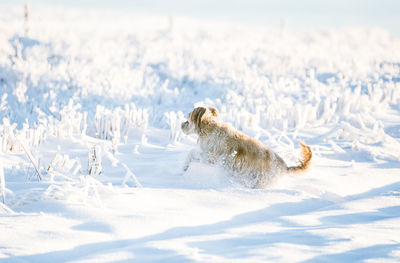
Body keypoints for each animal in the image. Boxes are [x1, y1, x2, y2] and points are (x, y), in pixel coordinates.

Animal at [181, 106, 312, 189]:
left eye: (188, 119)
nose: (181, 124)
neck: (209, 128)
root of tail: (285, 167)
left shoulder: (211, 158)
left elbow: (192, 153)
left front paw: (184, 166)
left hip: (261, 181)